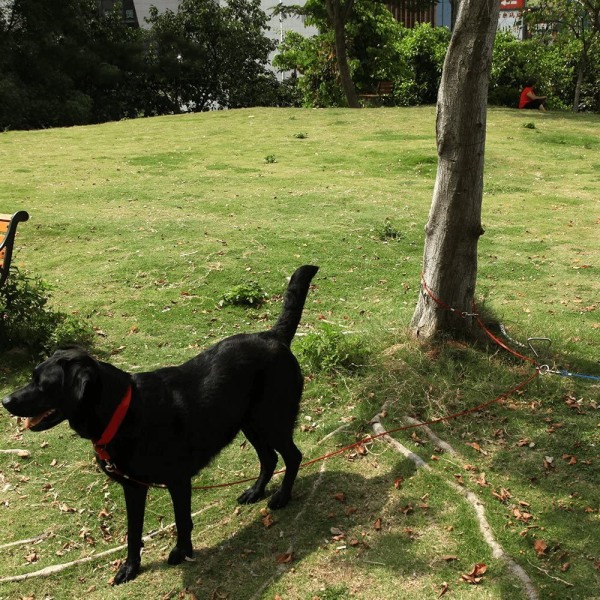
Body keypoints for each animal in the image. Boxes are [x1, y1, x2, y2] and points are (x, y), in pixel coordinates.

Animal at [3, 264, 318, 584]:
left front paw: (182, 552)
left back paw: (282, 497)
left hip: (273, 421)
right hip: (250, 423)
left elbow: (182, 520)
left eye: (43, 384)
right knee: (269, 458)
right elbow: (133, 533)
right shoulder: (133, 488)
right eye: (32, 376)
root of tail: (273, 335)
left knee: (293, 456)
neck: (123, 412)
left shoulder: (178, 480)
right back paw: (255, 492)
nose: (5, 400)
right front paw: (130, 567)